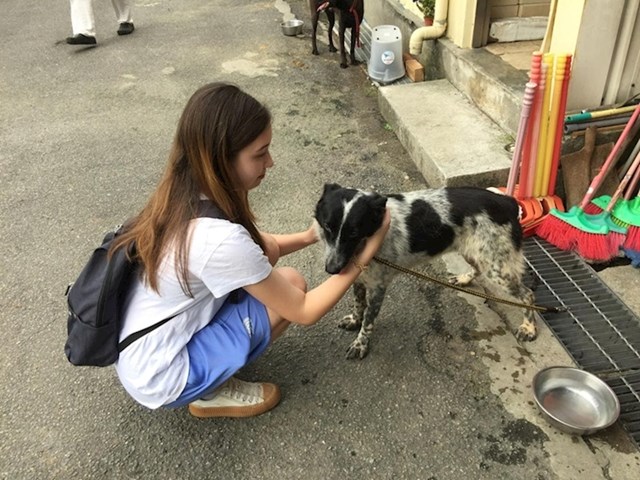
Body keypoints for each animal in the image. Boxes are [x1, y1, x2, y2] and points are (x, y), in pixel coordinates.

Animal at [312, 184, 536, 360]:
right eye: (327, 227)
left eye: (354, 232)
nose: (333, 269)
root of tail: (507, 201)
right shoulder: (359, 278)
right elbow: (359, 304)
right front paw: (354, 320)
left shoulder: (378, 287)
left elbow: (368, 320)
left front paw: (360, 344)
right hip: (477, 254)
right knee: (478, 270)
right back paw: (464, 279)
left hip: (496, 268)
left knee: (528, 294)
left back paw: (529, 327)